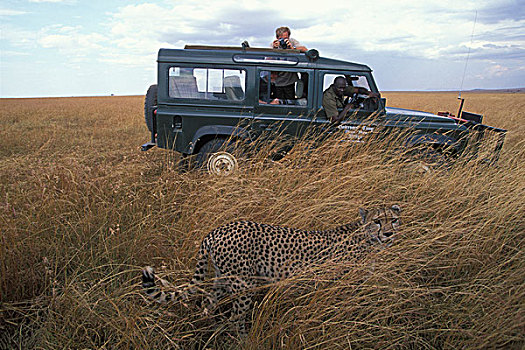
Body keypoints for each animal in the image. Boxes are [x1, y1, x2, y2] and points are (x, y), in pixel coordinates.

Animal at [141, 205, 400, 334]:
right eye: (377, 220)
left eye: (394, 219)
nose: (389, 234)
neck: (366, 236)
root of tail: (217, 230)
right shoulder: (338, 286)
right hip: (244, 284)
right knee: (236, 317)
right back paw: (242, 340)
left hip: (223, 279)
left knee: (208, 303)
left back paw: (211, 329)